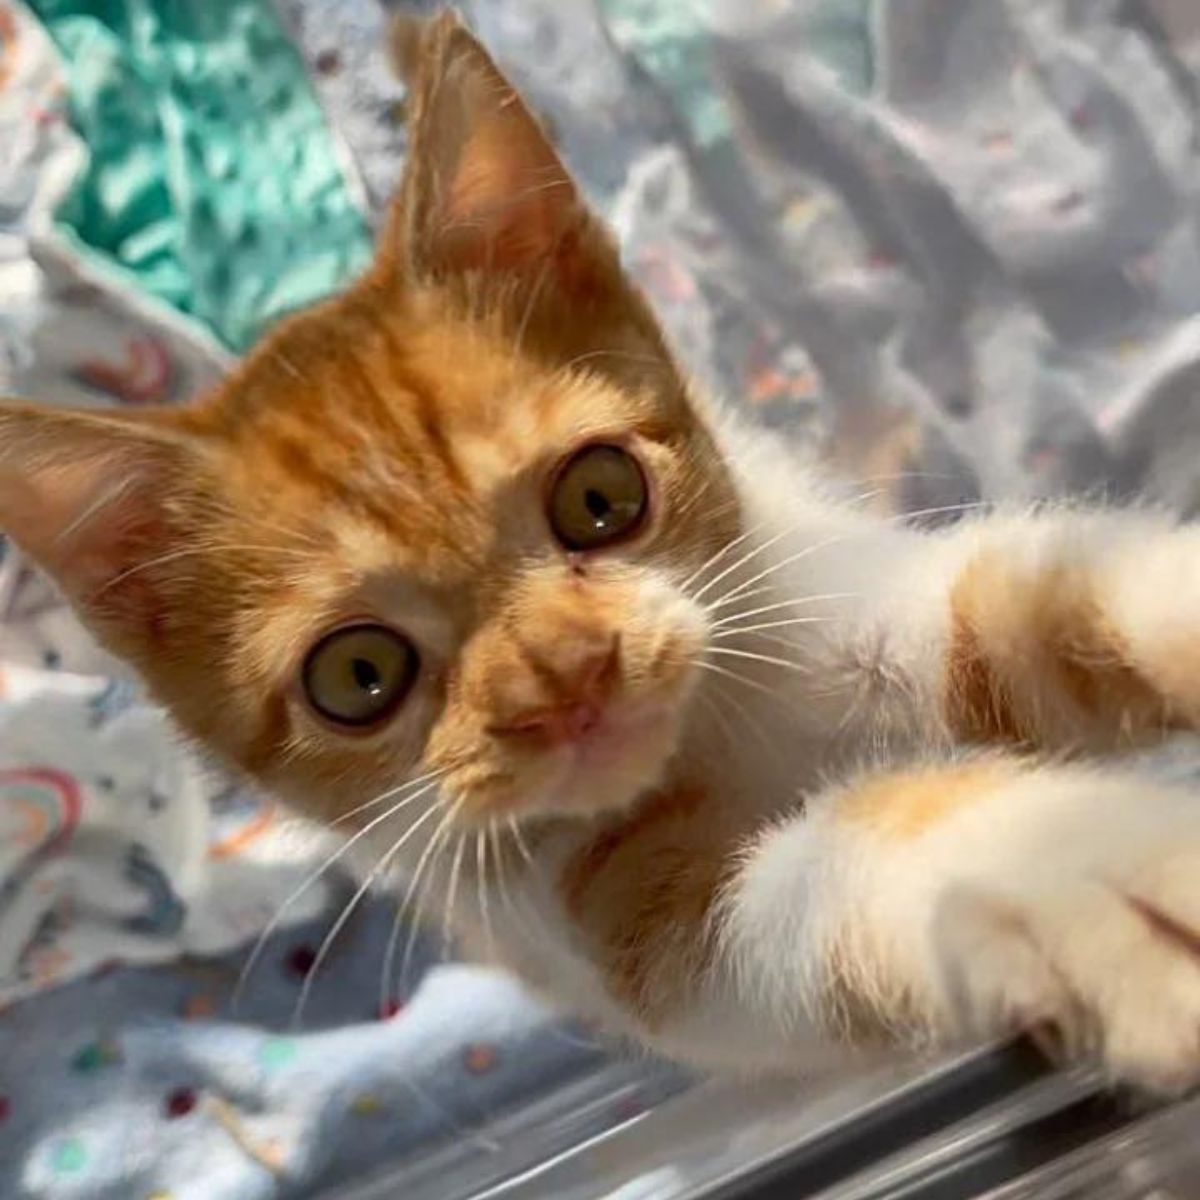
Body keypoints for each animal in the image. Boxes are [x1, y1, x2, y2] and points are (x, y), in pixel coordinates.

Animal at [7, 16, 1200, 1089]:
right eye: (357, 675)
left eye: (599, 496)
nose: (569, 677)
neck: (716, 727)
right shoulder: (624, 936)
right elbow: (815, 871)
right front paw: (1068, 867)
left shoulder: (845, 594)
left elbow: (1024, 596)